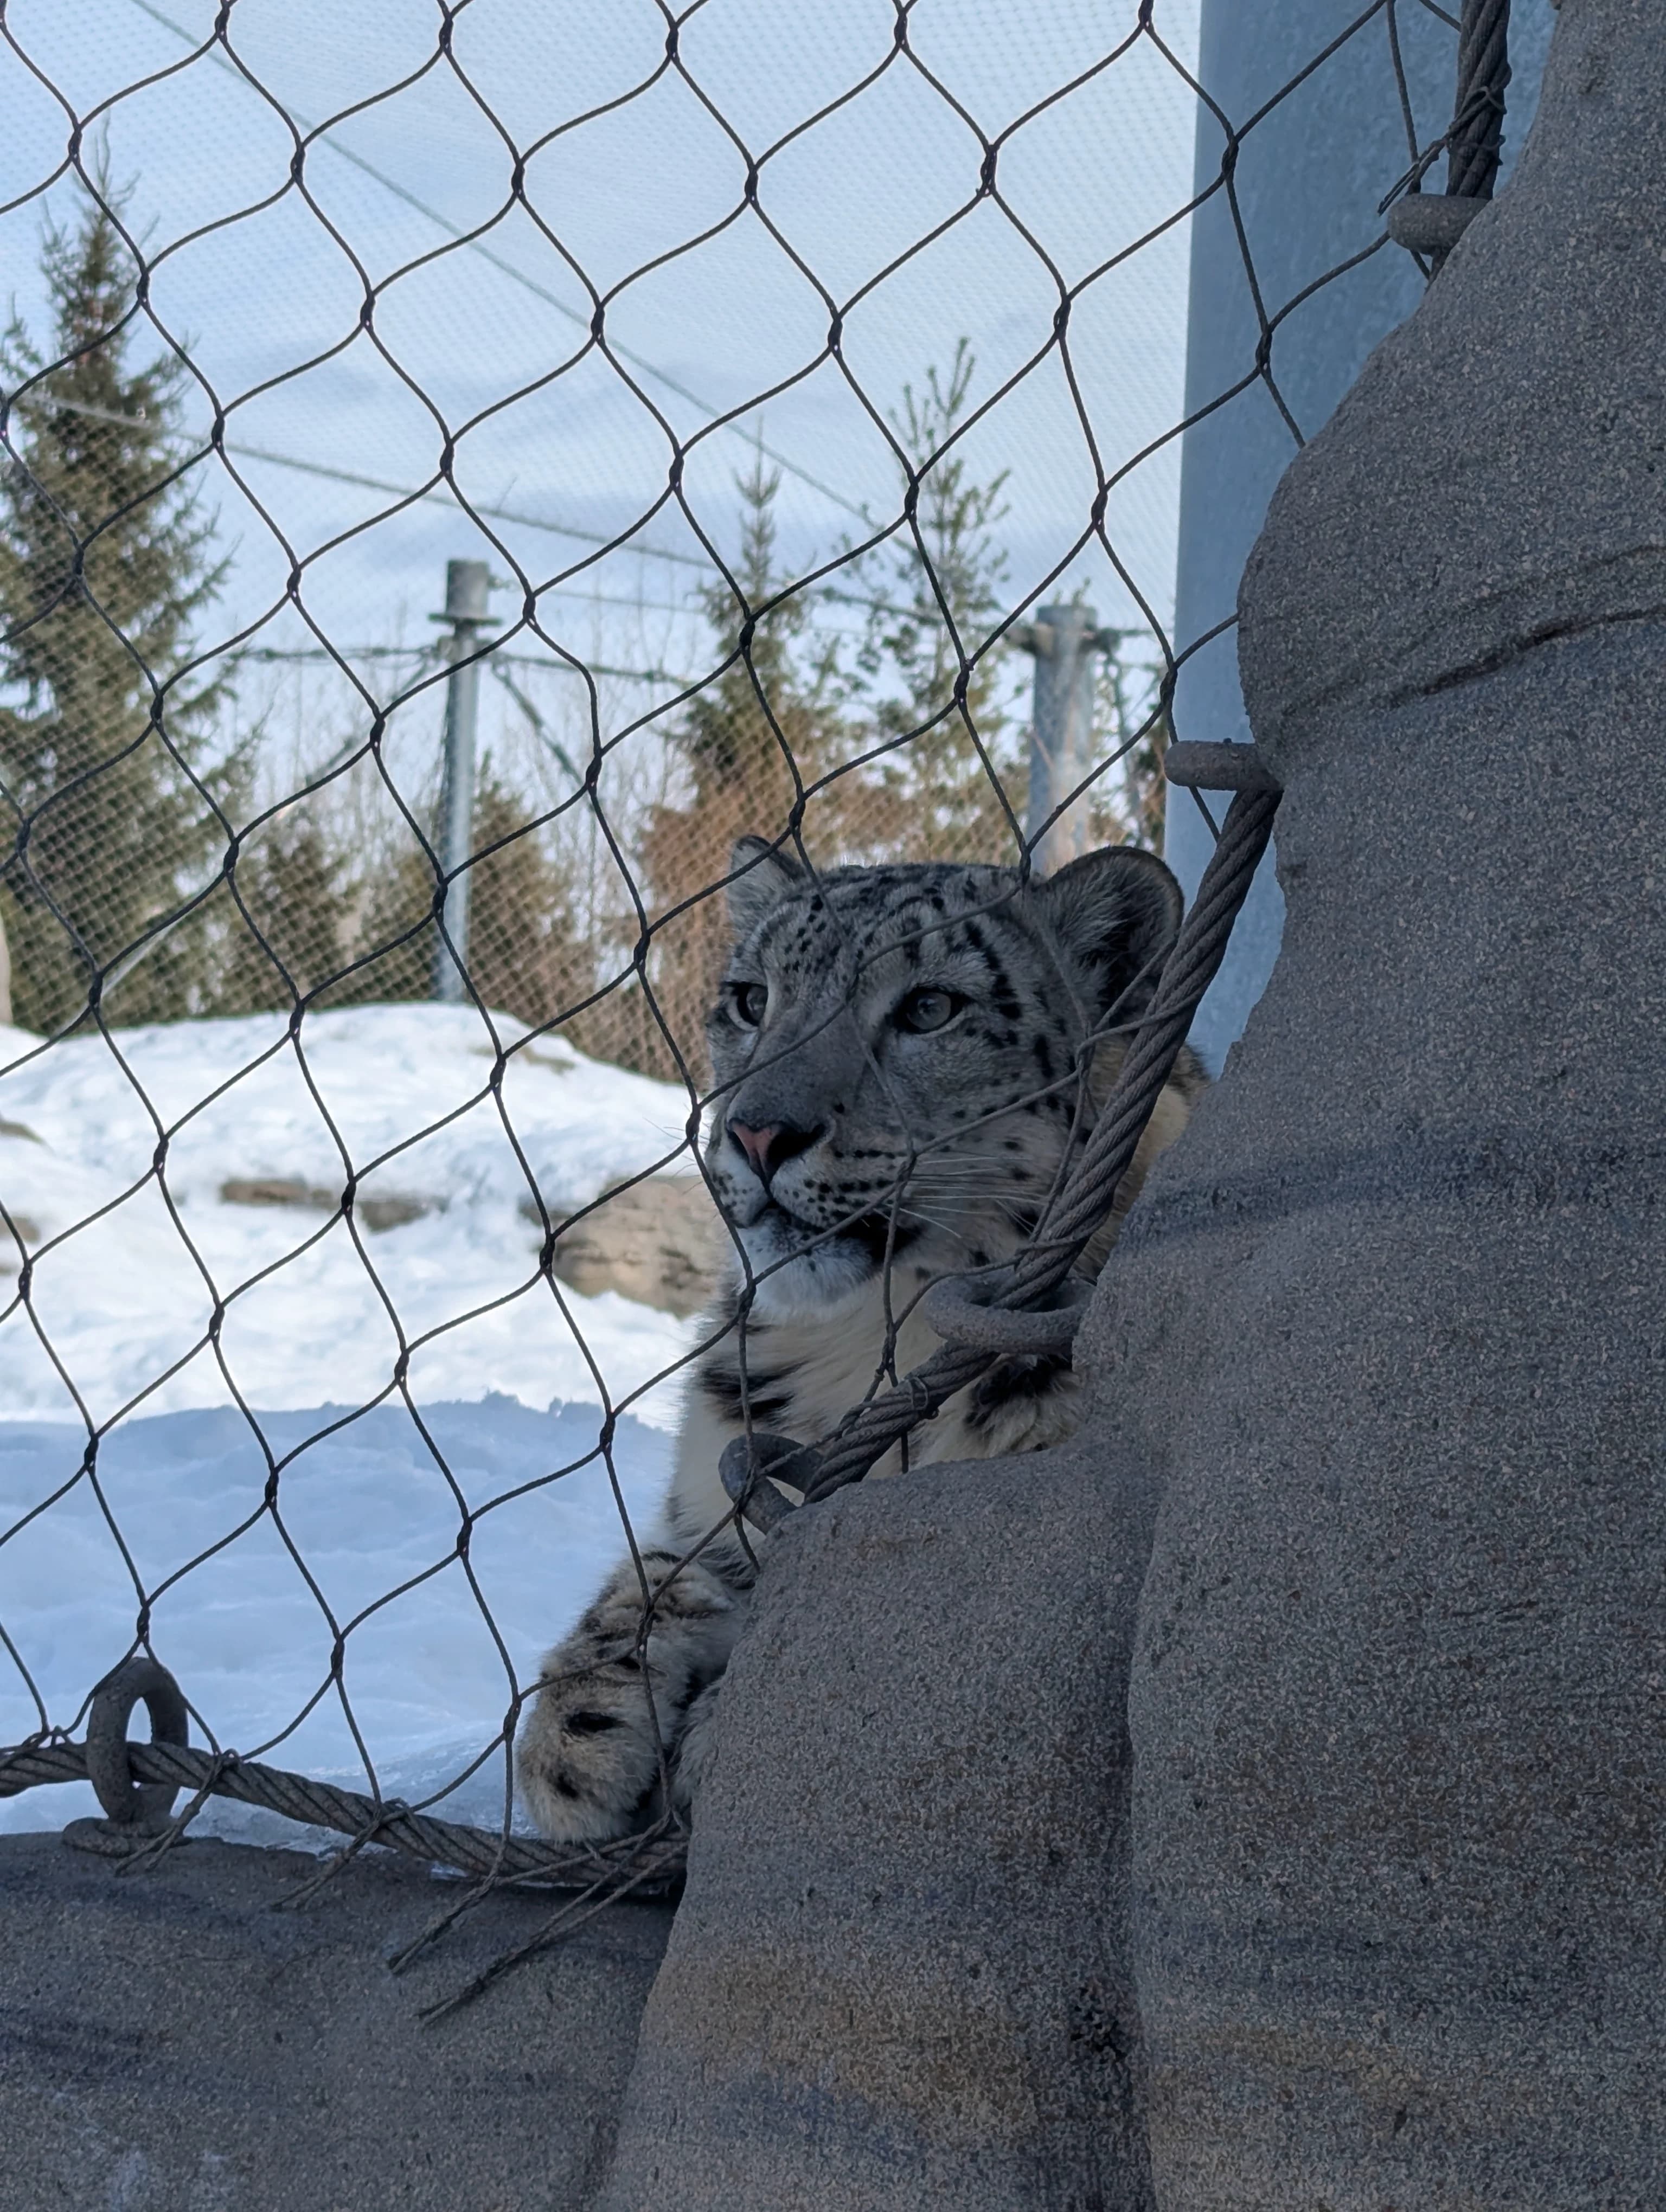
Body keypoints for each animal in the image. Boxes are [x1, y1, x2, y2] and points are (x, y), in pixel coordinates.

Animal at [516, 833, 1204, 1844]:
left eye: (931, 1006)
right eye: (750, 998)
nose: (759, 1133)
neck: (857, 1349)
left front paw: (719, 1738)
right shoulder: (722, 1480)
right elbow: (654, 1572)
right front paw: (574, 1738)